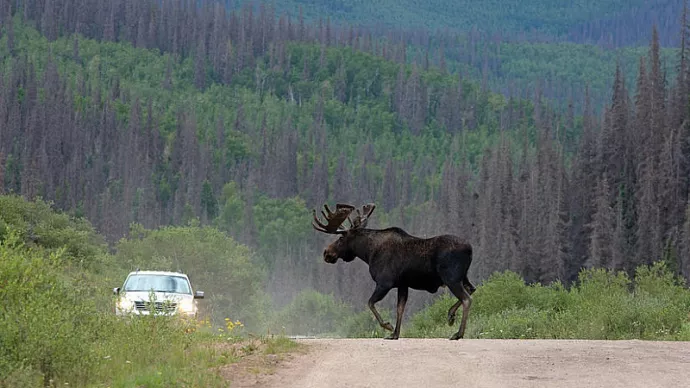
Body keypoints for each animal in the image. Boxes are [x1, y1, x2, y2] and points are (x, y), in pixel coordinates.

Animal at [312, 203, 472, 340]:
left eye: (341, 238)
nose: (326, 253)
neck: (368, 253)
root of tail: (470, 249)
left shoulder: (384, 282)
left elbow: (370, 302)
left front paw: (388, 326)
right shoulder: (402, 285)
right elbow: (399, 308)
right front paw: (395, 334)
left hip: (451, 278)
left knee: (466, 299)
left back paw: (458, 333)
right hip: (463, 277)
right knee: (472, 289)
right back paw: (451, 315)